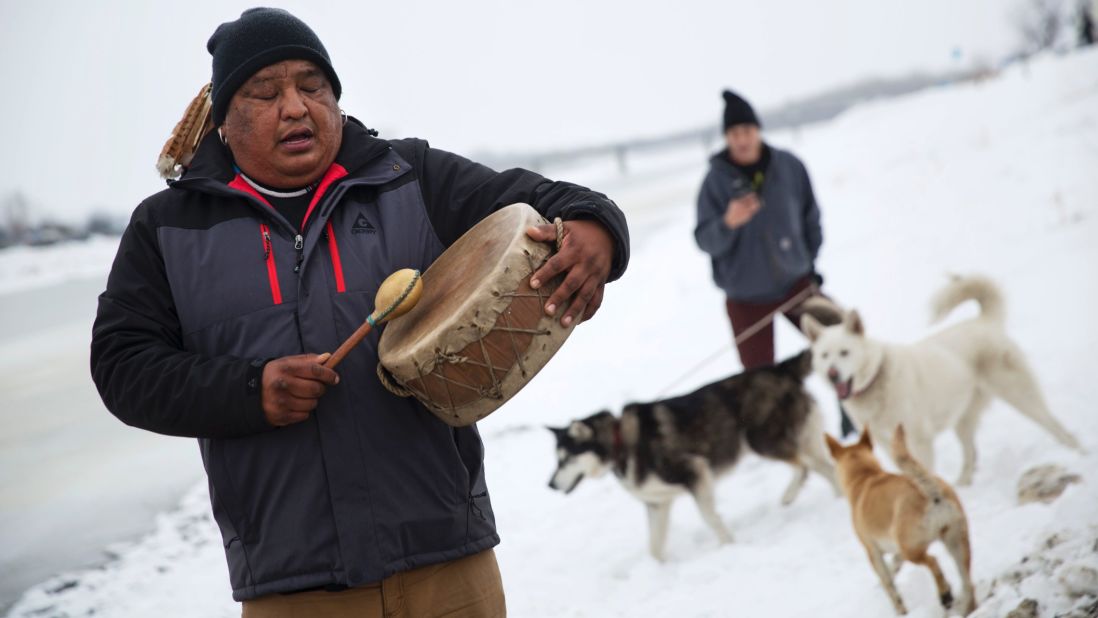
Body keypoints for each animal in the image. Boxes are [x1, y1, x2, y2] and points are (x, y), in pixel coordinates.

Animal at [799, 273, 1080, 485]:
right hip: (963, 419)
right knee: (970, 453)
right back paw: (963, 484)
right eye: (824, 355)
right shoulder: (886, 442)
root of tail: (985, 322)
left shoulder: (918, 439)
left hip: (1020, 395)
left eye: (844, 352)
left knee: (1054, 424)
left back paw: (1078, 451)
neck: (877, 378)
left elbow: (924, 472)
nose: (832, 374)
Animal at [825, 428, 975, 614]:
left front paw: (901, 610)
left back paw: (945, 595)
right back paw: (965, 606)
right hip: (956, 542)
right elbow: (895, 564)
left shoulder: (873, 552)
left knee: (933, 561)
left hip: (912, 550)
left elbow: (889, 585)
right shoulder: (897, 548)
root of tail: (930, 492)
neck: (865, 476)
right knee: (968, 583)